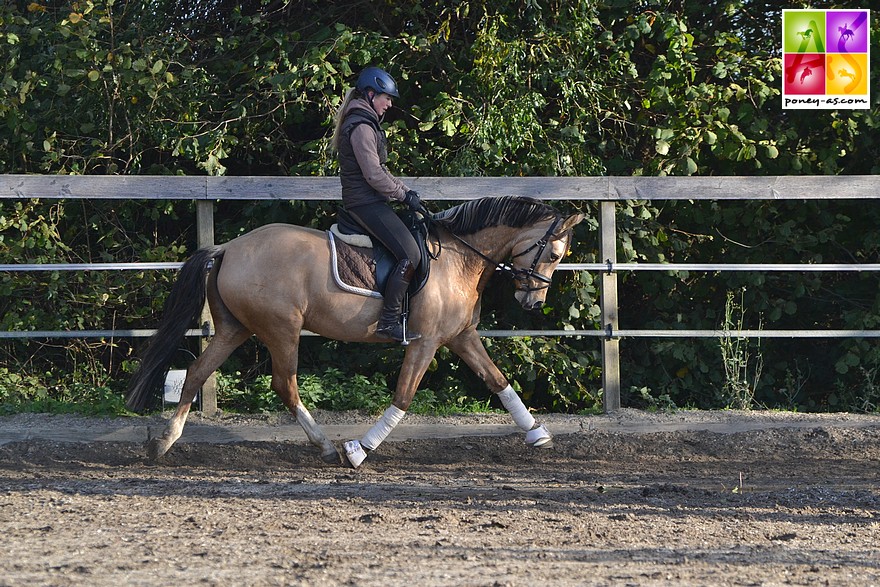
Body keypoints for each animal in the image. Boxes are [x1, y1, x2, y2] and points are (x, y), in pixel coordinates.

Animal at [125, 196, 584, 468]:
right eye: (553, 253)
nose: (533, 302)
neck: (458, 258)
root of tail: (228, 248)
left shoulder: (461, 337)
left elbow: (498, 381)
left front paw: (538, 434)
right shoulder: (427, 342)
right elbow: (403, 397)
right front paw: (360, 450)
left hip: (234, 330)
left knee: (198, 373)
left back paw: (163, 442)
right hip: (282, 330)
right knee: (285, 384)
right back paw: (327, 445)